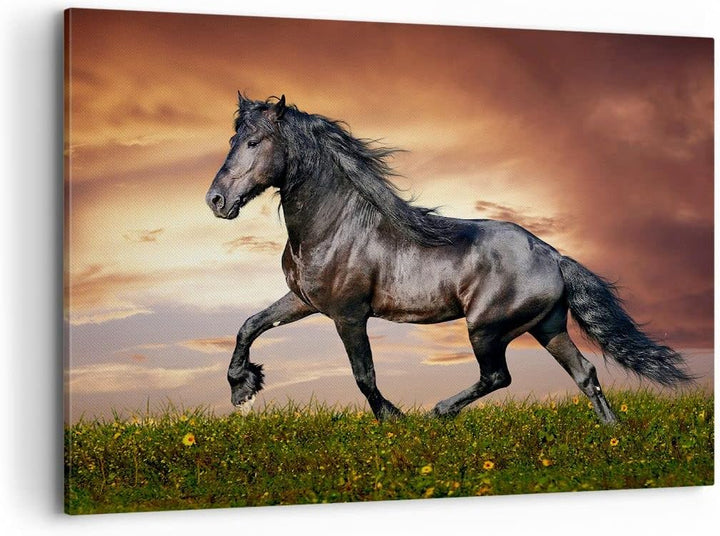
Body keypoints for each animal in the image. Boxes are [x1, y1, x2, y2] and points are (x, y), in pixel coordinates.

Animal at [205, 93, 691, 423]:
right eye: (232, 138)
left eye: (254, 142)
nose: (216, 200)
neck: (336, 227)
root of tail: (553, 255)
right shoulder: (304, 301)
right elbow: (249, 325)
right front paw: (243, 388)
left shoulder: (348, 314)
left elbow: (364, 375)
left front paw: (393, 419)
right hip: (547, 326)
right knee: (585, 372)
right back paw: (611, 432)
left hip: (487, 328)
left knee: (498, 377)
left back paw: (438, 412)